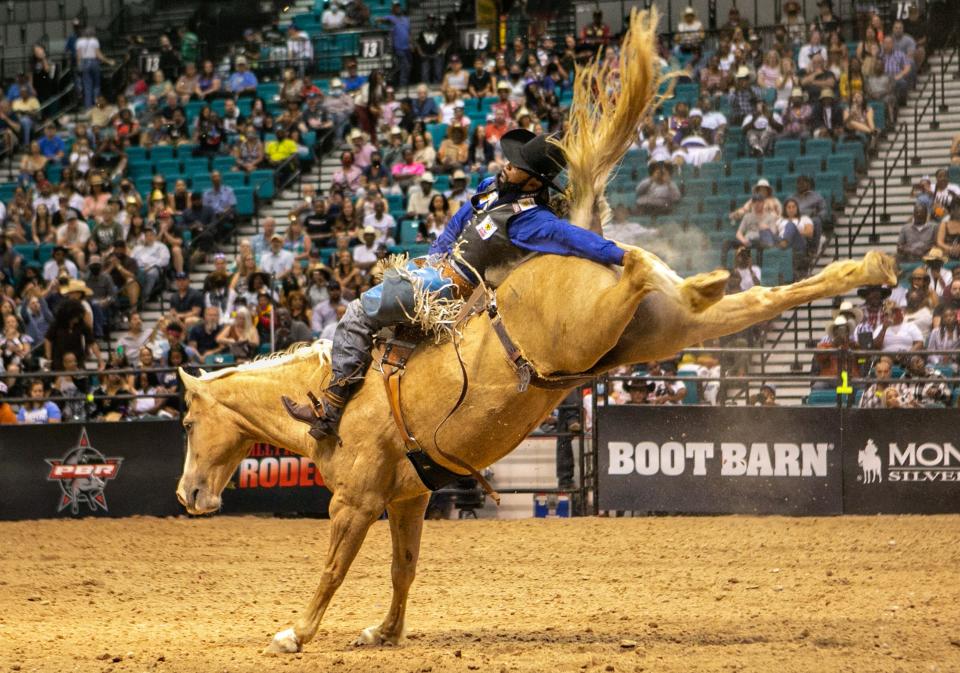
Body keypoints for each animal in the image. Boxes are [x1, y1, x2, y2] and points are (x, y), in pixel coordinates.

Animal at [171, 11, 892, 656]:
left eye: (186, 421)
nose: (185, 494)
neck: (337, 392)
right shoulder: (409, 499)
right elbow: (404, 568)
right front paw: (385, 631)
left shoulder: (355, 501)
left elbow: (331, 570)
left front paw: (294, 633)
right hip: (659, 329)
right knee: (746, 296)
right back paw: (845, 268)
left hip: (594, 323)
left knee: (635, 264)